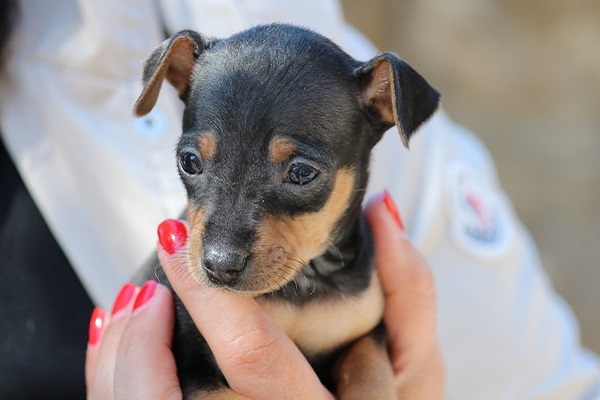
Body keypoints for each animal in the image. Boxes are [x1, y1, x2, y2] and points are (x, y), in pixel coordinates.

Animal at [134, 23, 438, 398]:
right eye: (189, 161)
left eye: (302, 173)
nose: (219, 265)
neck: (298, 288)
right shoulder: (192, 362)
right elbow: (222, 394)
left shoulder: (367, 332)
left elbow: (370, 373)